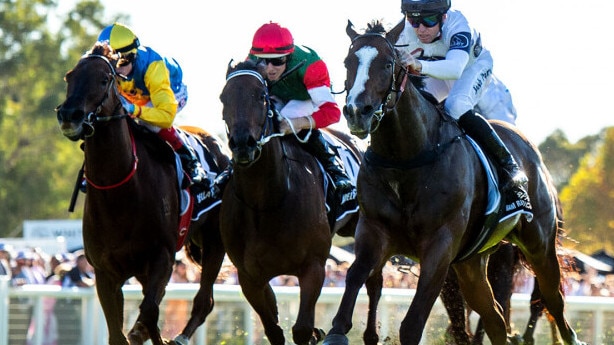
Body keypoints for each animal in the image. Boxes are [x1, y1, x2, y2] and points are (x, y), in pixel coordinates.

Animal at [53, 43, 229, 344]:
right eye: (69, 76)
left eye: (104, 79)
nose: (69, 115)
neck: (120, 193)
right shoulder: (105, 272)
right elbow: (121, 329)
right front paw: (137, 333)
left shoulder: (162, 258)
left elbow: (149, 310)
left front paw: (147, 334)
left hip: (214, 241)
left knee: (204, 301)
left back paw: (179, 336)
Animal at [220, 59, 366, 344]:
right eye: (223, 98)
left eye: (262, 97)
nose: (243, 144)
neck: (265, 201)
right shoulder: (248, 277)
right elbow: (273, 329)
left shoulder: (314, 267)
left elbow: (301, 329)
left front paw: (317, 332)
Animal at [322, 21, 588, 344]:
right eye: (348, 62)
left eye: (387, 63)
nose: (357, 112)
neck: (407, 157)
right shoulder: (374, 231)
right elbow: (356, 275)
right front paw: (336, 331)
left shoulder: (441, 245)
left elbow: (413, 323)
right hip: (472, 262)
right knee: (495, 317)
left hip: (539, 244)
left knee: (552, 299)